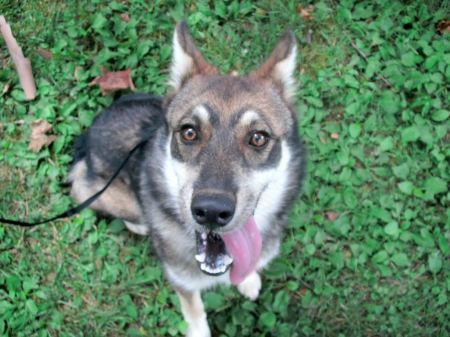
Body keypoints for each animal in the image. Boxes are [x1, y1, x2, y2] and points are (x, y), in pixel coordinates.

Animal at [68, 21, 304, 336]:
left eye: (258, 138)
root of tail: (88, 136)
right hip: (105, 193)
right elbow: (193, 309)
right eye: (189, 132)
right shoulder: (181, 281)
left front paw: (248, 279)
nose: (212, 211)